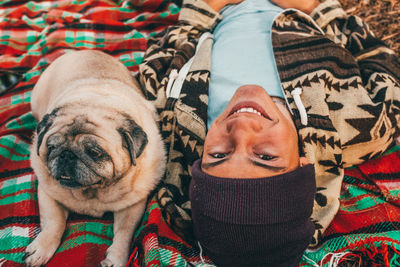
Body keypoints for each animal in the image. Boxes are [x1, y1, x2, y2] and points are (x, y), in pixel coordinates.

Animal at [25, 50, 166, 267]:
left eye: (95, 153)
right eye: (51, 147)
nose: (67, 155)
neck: (92, 193)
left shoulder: (131, 206)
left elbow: (124, 233)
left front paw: (116, 258)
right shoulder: (48, 193)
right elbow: (53, 223)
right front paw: (41, 248)